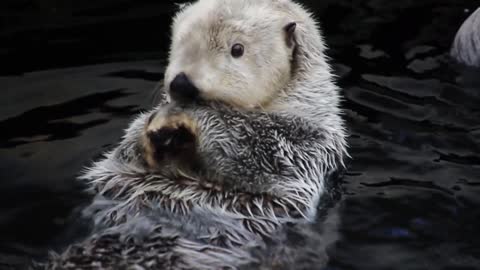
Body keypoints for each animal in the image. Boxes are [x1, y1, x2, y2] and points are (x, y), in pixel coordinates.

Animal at [36, 0, 344, 268]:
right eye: (181, 41)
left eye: (237, 49)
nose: (182, 83)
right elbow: (129, 147)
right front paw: (159, 129)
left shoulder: (301, 142)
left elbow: (256, 152)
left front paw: (188, 121)